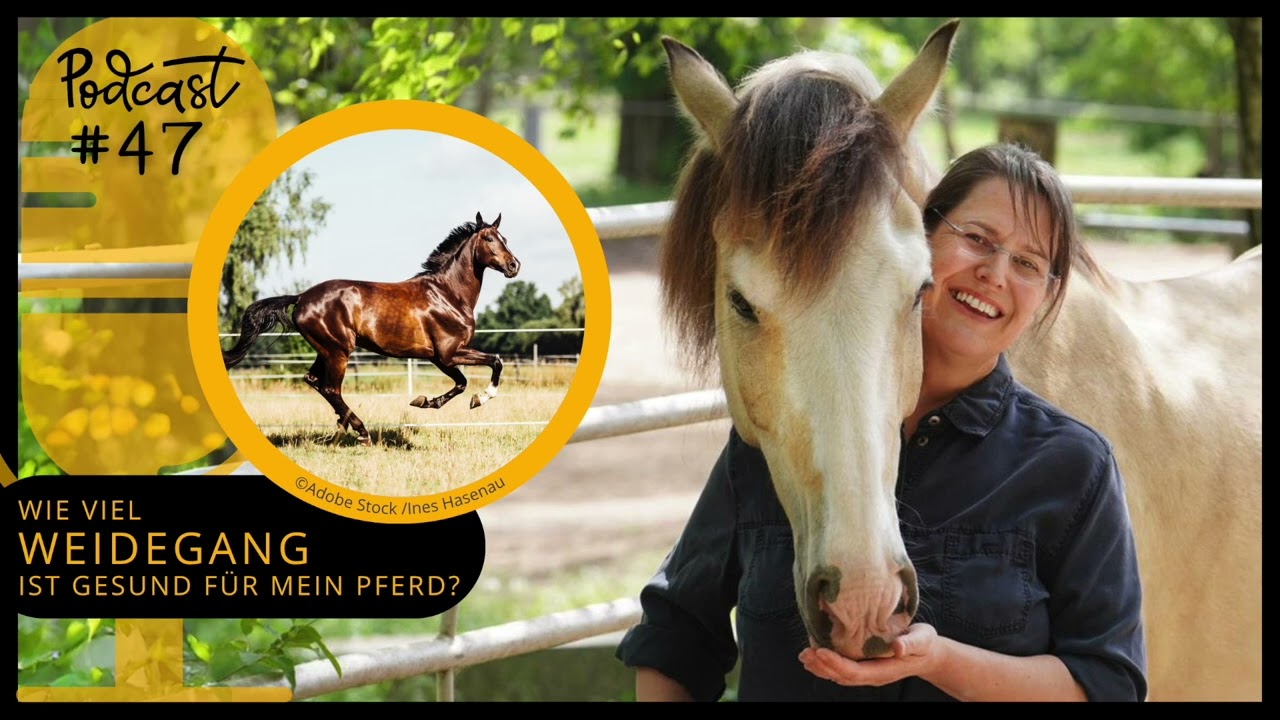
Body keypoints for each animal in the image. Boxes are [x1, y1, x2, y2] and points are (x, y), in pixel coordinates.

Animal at [221, 211, 522, 447]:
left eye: (505, 239)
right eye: (489, 239)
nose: (514, 266)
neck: (447, 294)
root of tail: (302, 297)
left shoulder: (442, 357)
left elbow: (464, 381)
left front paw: (424, 401)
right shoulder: (446, 354)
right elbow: (489, 366)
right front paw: (477, 399)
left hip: (327, 350)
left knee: (314, 380)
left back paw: (343, 429)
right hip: (339, 351)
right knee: (331, 388)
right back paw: (361, 431)